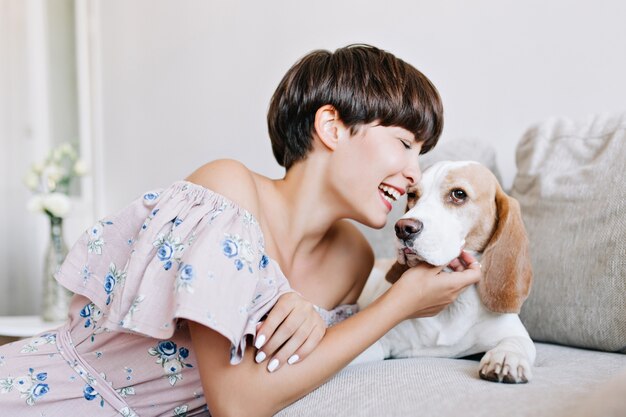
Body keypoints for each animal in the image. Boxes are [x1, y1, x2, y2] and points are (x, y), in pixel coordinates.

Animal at [358, 159, 532, 384]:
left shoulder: (514, 332)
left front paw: (506, 357)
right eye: (412, 195)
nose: (403, 228)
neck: (452, 308)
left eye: (458, 194)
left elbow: (516, 342)